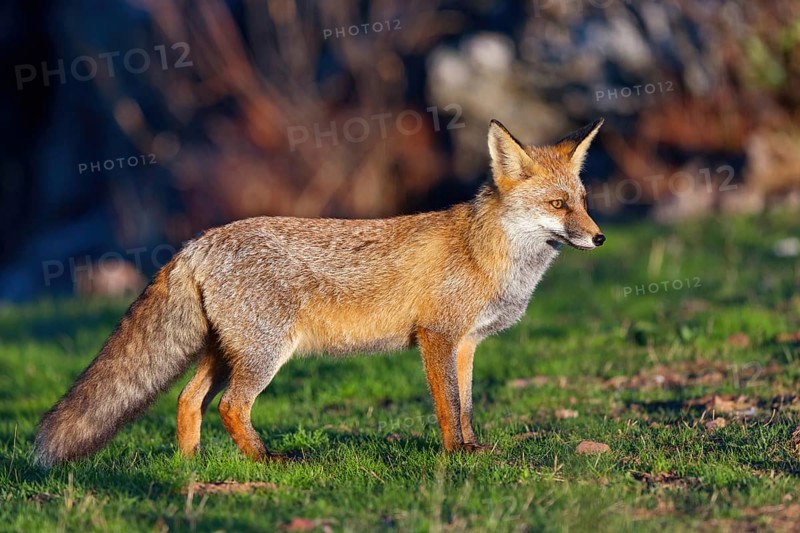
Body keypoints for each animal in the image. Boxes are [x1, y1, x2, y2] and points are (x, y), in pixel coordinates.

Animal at [34, 118, 606, 467]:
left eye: (582, 200)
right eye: (557, 205)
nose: (600, 238)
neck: (484, 253)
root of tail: (199, 241)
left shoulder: (465, 343)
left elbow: (464, 405)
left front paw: (470, 449)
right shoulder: (437, 336)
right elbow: (446, 405)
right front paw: (452, 457)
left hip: (225, 351)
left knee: (188, 399)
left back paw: (190, 466)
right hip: (264, 354)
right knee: (230, 407)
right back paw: (265, 462)